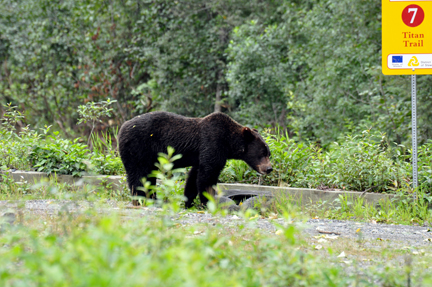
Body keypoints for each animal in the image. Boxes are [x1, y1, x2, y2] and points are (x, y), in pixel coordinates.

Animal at [117, 111, 274, 208]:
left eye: (268, 153)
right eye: (262, 153)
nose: (269, 168)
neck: (229, 143)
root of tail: (122, 127)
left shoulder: (200, 156)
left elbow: (194, 177)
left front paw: (188, 202)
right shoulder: (212, 143)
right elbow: (208, 176)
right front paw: (208, 202)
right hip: (138, 147)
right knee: (139, 174)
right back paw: (141, 200)